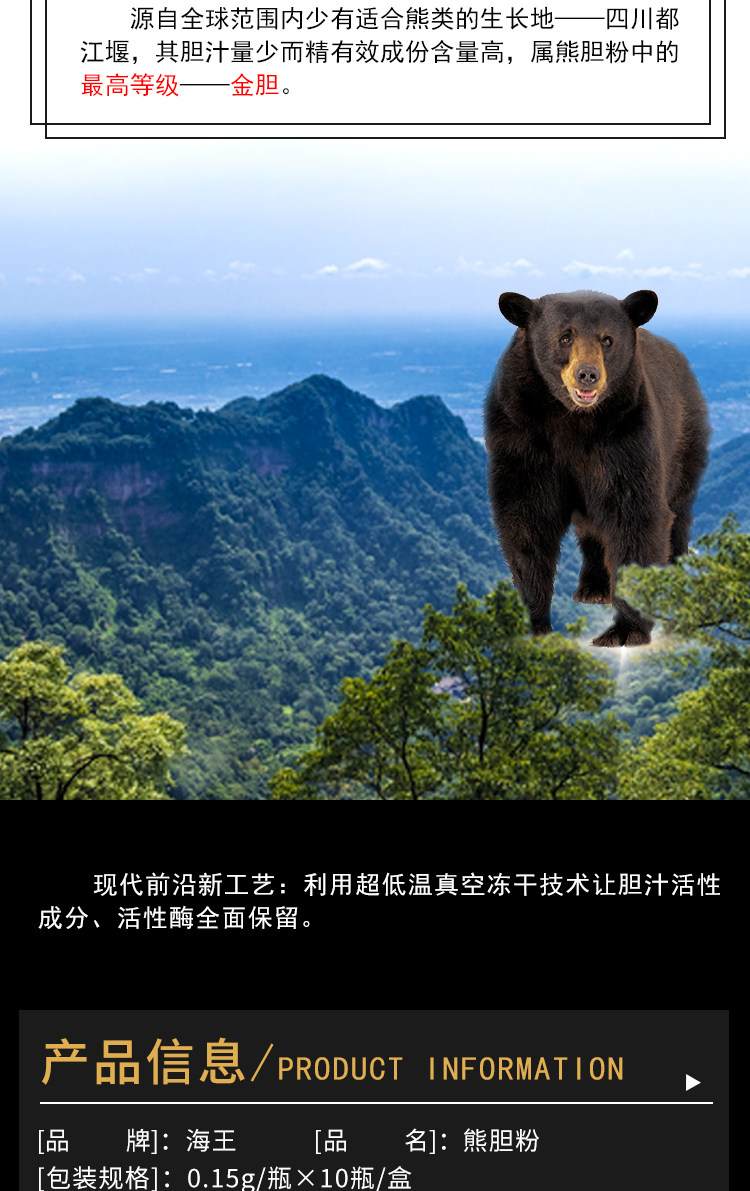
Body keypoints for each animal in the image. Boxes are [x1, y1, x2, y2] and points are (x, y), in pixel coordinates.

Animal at [483, 289, 710, 646]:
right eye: (565, 336)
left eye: (607, 339)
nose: (587, 374)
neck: (571, 419)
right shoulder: (520, 434)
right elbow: (527, 521)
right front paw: (538, 625)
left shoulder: (627, 432)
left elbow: (636, 514)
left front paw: (626, 630)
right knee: (592, 528)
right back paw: (593, 589)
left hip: (683, 439)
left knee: (679, 508)